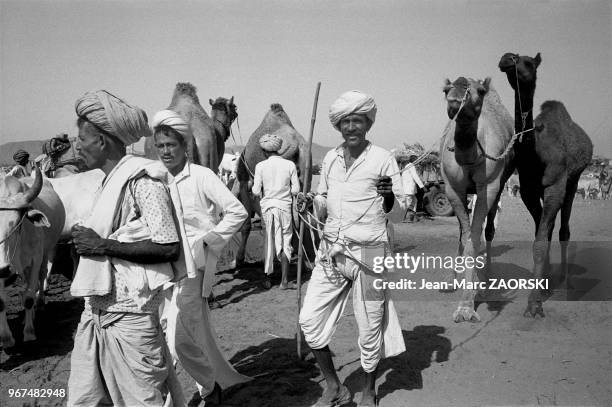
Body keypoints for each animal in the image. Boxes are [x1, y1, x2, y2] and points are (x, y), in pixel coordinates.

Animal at [440, 77, 516, 322]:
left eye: (480, 91)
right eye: (445, 89)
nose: (456, 97)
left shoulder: (489, 187)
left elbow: (475, 236)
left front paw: (468, 304)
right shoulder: (453, 188)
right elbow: (466, 236)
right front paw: (463, 294)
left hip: (500, 185)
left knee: (489, 230)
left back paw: (486, 282)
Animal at [498, 52, 592, 318]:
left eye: (528, 63)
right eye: (512, 57)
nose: (507, 58)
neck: (536, 155)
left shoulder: (555, 186)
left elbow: (542, 241)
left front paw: (534, 304)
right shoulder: (529, 191)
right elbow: (539, 237)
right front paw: (541, 289)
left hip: (574, 180)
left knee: (564, 230)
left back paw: (566, 282)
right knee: (550, 230)